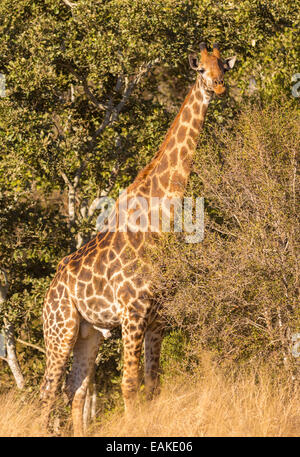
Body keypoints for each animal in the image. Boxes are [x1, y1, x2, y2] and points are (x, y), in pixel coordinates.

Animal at [40, 42, 237, 434]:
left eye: (223, 66)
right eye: (200, 70)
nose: (219, 87)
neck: (161, 218)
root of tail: (48, 294)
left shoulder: (158, 315)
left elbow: (153, 386)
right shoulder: (133, 310)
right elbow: (130, 384)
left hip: (88, 332)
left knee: (76, 390)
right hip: (60, 329)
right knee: (47, 393)